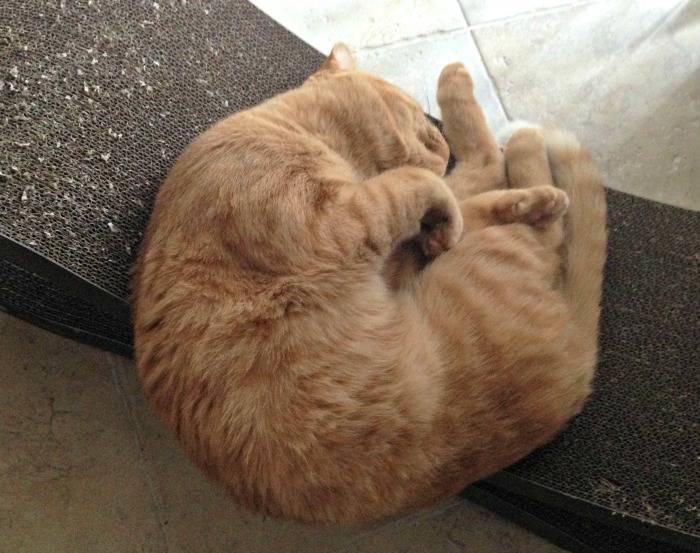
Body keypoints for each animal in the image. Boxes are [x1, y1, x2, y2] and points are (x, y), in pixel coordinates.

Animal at [133, 42, 608, 520]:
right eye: (419, 120)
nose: (441, 146)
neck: (292, 131)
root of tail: (579, 365)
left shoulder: (377, 245)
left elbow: (447, 188)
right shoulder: (340, 222)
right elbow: (427, 183)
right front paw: (449, 207)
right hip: (486, 255)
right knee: (528, 212)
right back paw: (522, 149)